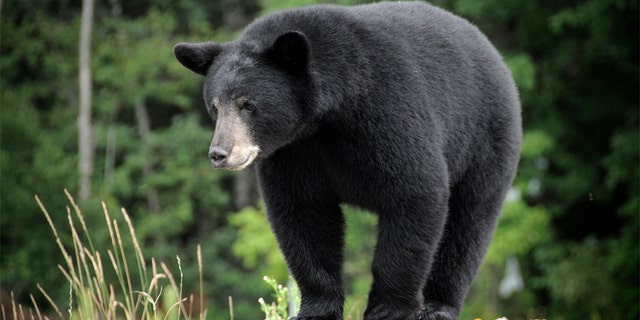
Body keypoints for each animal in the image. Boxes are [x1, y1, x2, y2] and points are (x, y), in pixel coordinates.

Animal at [174, 1, 520, 318]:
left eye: (248, 105)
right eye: (215, 106)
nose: (220, 154)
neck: (326, 118)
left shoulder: (389, 112)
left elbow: (415, 193)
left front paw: (387, 310)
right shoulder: (294, 153)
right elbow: (303, 215)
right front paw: (317, 310)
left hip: (484, 141)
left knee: (468, 225)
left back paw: (439, 306)